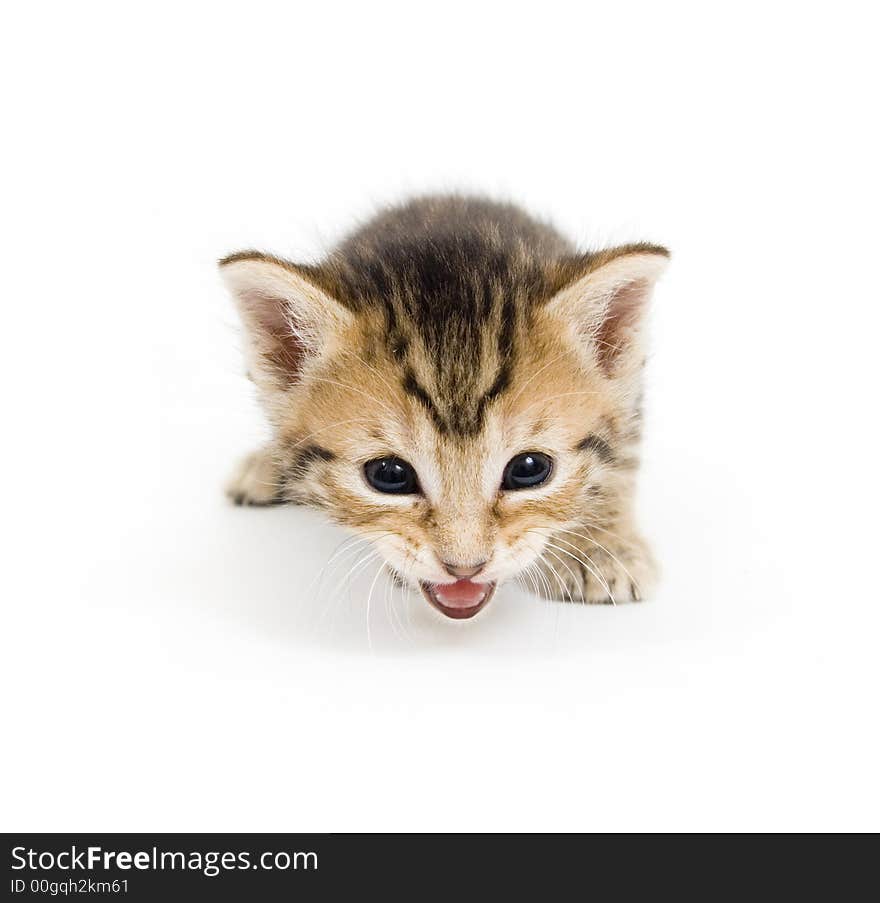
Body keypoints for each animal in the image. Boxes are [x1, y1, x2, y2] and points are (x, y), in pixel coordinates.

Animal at [220, 196, 668, 620]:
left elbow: (620, 463)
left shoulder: (630, 395)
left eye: (529, 469)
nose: (465, 569)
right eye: (389, 475)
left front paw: (601, 546)